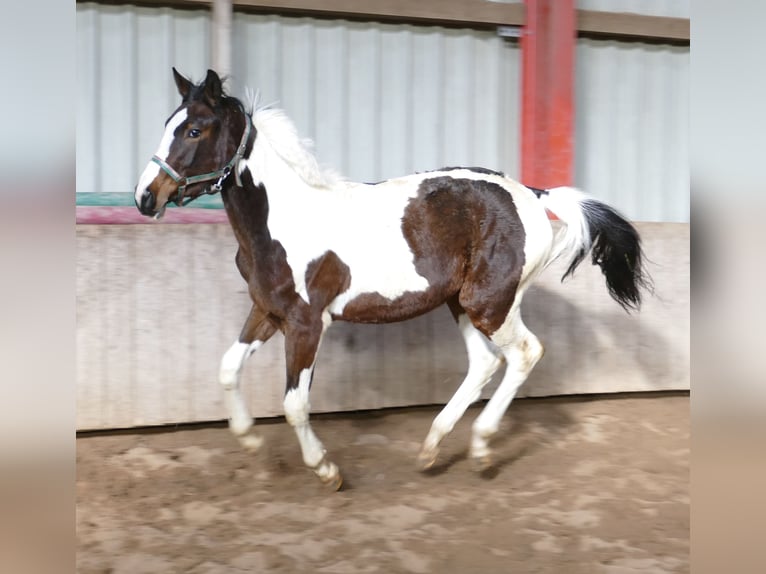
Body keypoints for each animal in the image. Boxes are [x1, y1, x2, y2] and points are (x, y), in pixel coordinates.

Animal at [135, 67, 652, 490]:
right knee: (485, 363)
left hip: (490, 303)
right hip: (460, 303)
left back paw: (481, 448)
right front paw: (250, 444)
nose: (145, 197)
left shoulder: (307, 323)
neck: (283, 219)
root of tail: (533, 194)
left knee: (525, 353)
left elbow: (294, 404)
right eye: (167, 123)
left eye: (194, 129)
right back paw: (431, 449)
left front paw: (326, 469)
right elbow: (228, 368)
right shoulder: (267, 310)